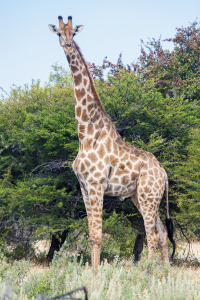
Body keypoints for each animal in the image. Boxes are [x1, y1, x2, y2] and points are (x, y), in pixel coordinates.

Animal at [48, 15, 175, 268]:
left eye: (73, 33)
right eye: (58, 32)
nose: (67, 45)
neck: (86, 134)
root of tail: (164, 174)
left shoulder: (97, 185)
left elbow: (97, 236)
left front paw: (97, 275)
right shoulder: (84, 187)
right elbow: (91, 235)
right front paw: (92, 272)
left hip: (147, 197)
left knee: (152, 234)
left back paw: (147, 271)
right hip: (141, 197)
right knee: (162, 233)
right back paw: (164, 273)